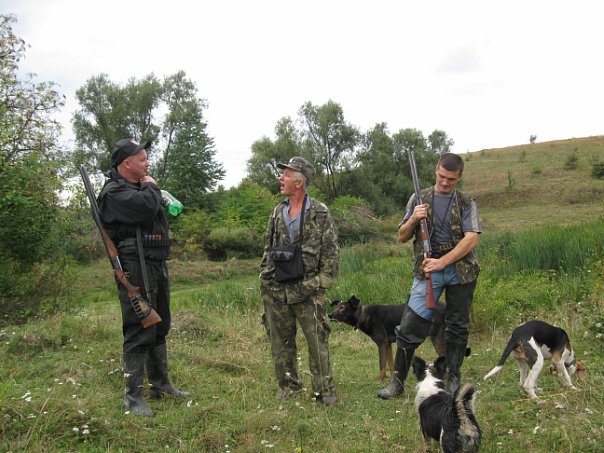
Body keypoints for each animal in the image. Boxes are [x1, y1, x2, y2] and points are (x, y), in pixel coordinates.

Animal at [329, 295, 469, 380]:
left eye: (342, 308)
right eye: (336, 307)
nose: (329, 315)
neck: (363, 314)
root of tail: (446, 308)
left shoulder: (381, 344)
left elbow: (382, 364)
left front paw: (380, 379)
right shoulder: (388, 344)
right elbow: (391, 364)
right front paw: (393, 379)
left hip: (437, 338)